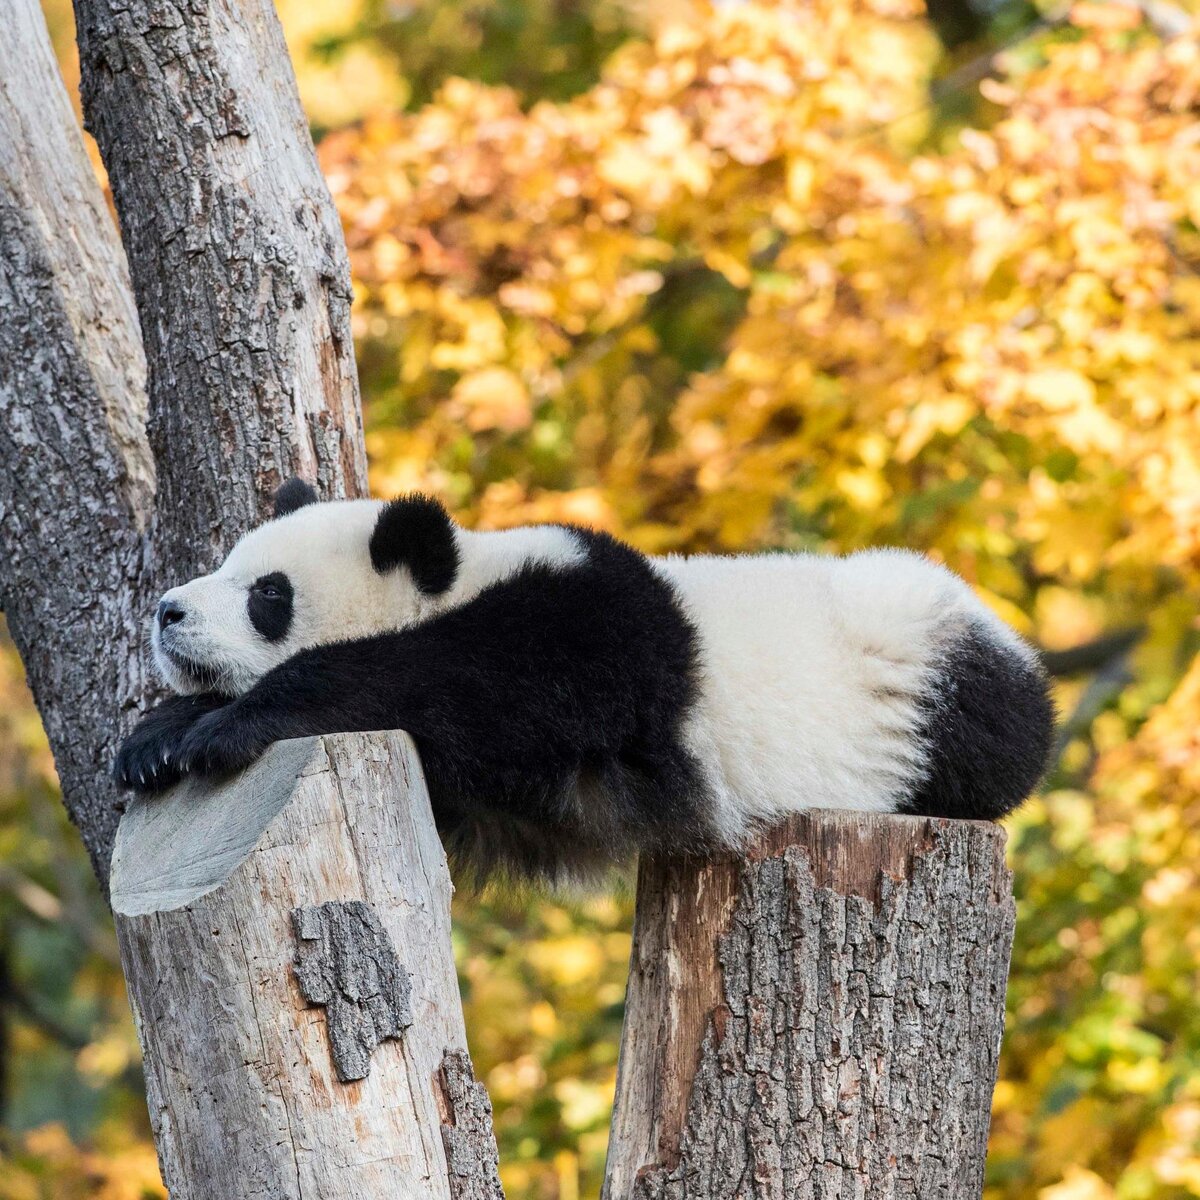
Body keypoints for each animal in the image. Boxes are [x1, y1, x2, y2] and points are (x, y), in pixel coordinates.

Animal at [114, 478, 1054, 883]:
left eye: (267, 595)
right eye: (227, 563)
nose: (168, 611)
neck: (468, 572)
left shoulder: (578, 641)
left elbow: (445, 684)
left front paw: (223, 728)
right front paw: (154, 740)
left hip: (924, 666)